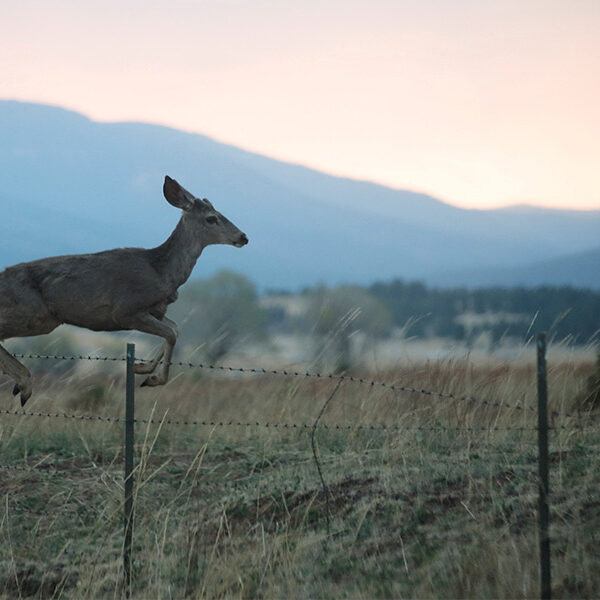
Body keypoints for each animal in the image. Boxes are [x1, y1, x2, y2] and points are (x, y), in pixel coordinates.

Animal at [0, 176, 248, 406]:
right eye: (211, 218)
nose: (243, 236)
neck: (161, 271)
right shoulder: (126, 310)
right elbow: (171, 333)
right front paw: (154, 378)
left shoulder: (154, 310)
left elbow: (175, 329)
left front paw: (141, 367)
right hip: (34, 315)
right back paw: (24, 384)